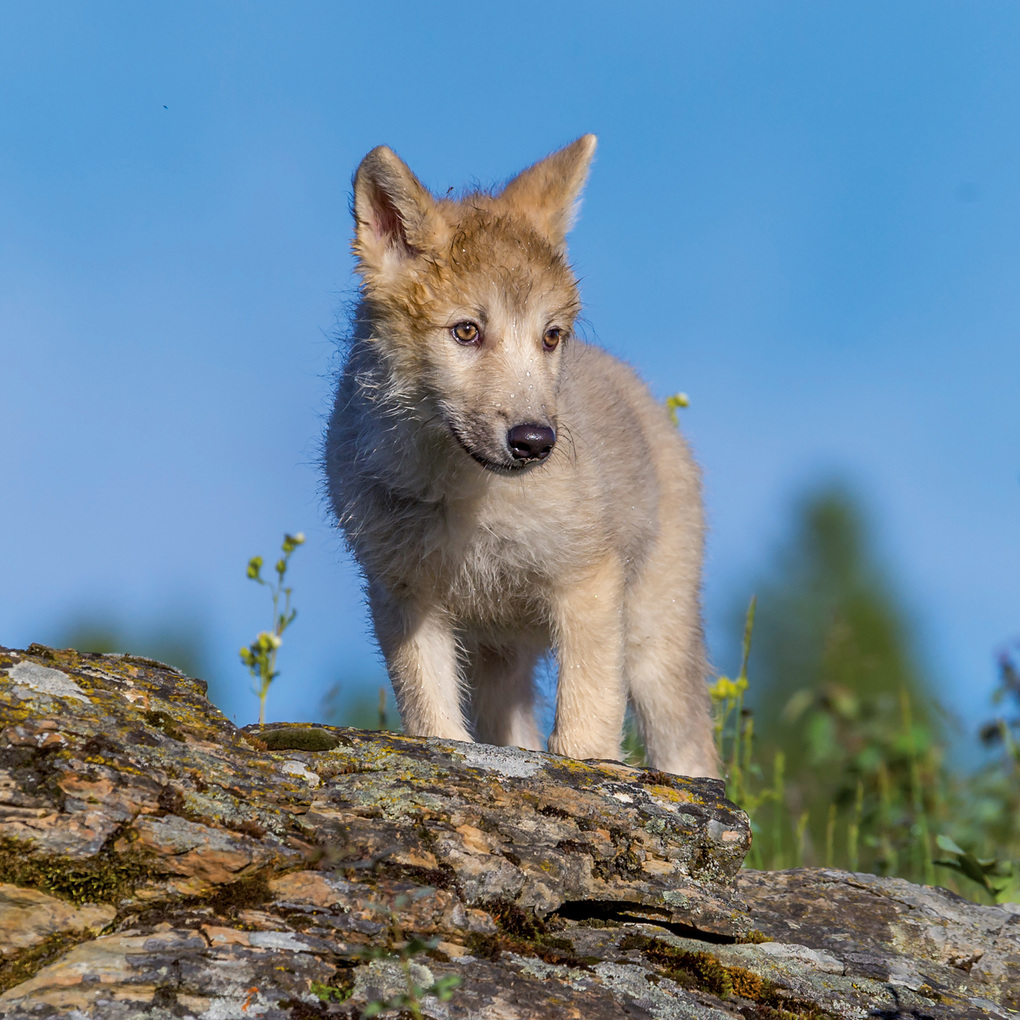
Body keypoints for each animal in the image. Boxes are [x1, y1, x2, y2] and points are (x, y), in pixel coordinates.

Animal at [324, 135, 719, 778]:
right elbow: (434, 721)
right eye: (466, 332)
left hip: (654, 643)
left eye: (550, 336)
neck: (460, 497)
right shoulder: (404, 596)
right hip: (500, 658)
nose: (535, 441)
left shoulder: (587, 583)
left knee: (692, 754)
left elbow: (585, 730)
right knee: (517, 735)